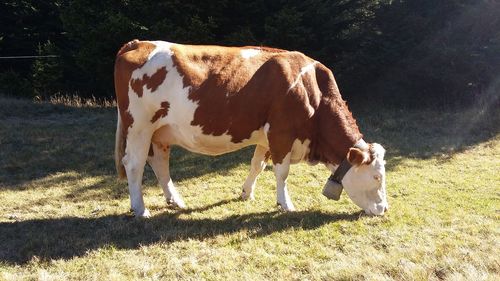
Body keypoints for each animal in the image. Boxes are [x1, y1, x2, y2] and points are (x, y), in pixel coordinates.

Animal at [115, 39, 388, 218]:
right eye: (377, 176)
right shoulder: (281, 133)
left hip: (160, 132)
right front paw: (285, 204)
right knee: (134, 164)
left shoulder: (267, 138)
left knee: (159, 162)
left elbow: (257, 165)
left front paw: (246, 193)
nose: (384, 209)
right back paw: (140, 209)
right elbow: (282, 173)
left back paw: (176, 200)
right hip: (139, 126)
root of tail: (138, 43)